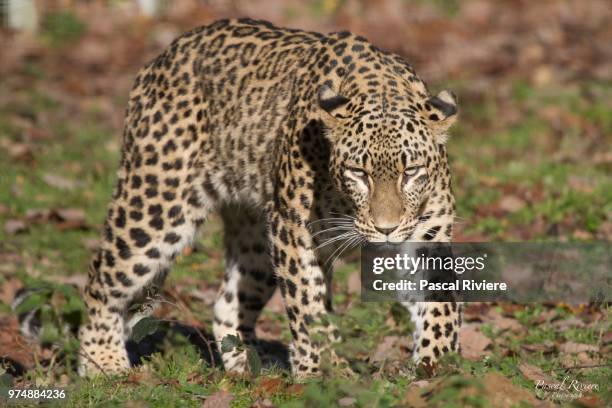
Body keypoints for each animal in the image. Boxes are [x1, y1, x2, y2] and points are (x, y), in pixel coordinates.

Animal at [77, 16, 460, 380]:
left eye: (410, 172)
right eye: (358, 173)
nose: (386, 229)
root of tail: (165, 54)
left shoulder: (427, 235)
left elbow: (441, 303)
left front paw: (438, 365)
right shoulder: (296, 234)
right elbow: (309, 308)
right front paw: (325, 372)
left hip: (256, 242)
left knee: (227, 305)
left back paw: (248, 365)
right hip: (157, 205)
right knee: (102, 280)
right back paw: (103, 363)